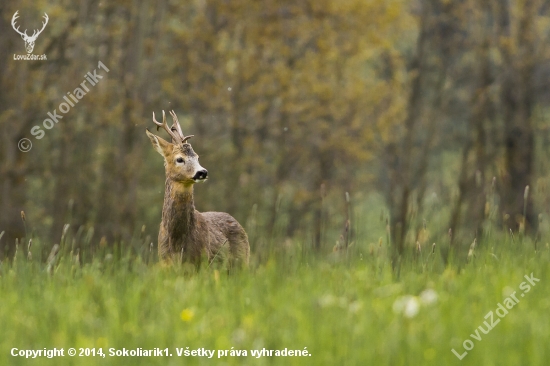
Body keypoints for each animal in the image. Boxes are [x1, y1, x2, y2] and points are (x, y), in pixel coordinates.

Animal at [147, 111, 250, 268]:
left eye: (197, 157)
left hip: (242, 261)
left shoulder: (200, 261)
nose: (202, 172)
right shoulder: (165, 262)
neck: (177, 241)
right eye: (179, 159)